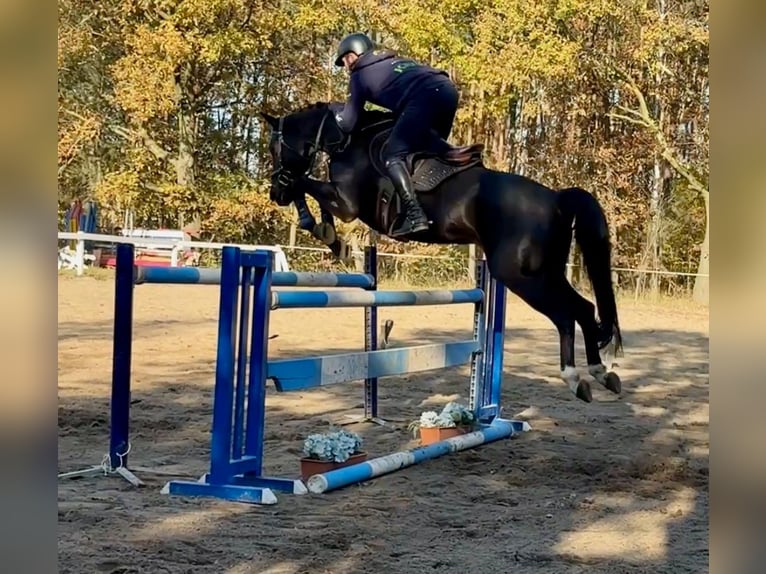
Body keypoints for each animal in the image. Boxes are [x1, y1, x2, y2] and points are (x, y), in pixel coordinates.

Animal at [262, 101, 624, 402]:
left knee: (565, 316)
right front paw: (328, 233)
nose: (274, 193)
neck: (350, 142)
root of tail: (557, 199)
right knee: (584, 308)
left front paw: (317, 224)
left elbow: (306, 185)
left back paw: (574, 378)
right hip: (545, 273)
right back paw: (601, 373)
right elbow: (312, 194)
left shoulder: (347, 204)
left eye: (274, 148)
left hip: (520, 276)